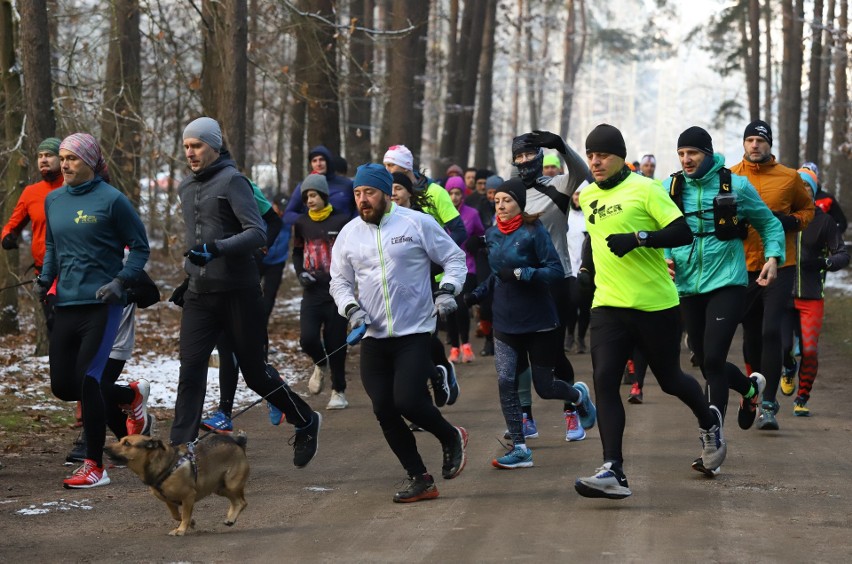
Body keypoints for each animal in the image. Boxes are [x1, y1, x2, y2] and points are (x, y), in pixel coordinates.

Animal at [105, 434, 250, 536]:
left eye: (127, 443)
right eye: (120, 440)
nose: (104, 448)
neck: (165, 466)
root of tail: (237, 441)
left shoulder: (188, 496)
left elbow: (185, 515)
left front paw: (181, 530)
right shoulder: (169, 500)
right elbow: (176, 515)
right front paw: (191, 522)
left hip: (231, 483)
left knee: (242, 502)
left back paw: (231, 517)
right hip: (220, 487)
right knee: (236, 501)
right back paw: (230, 518)